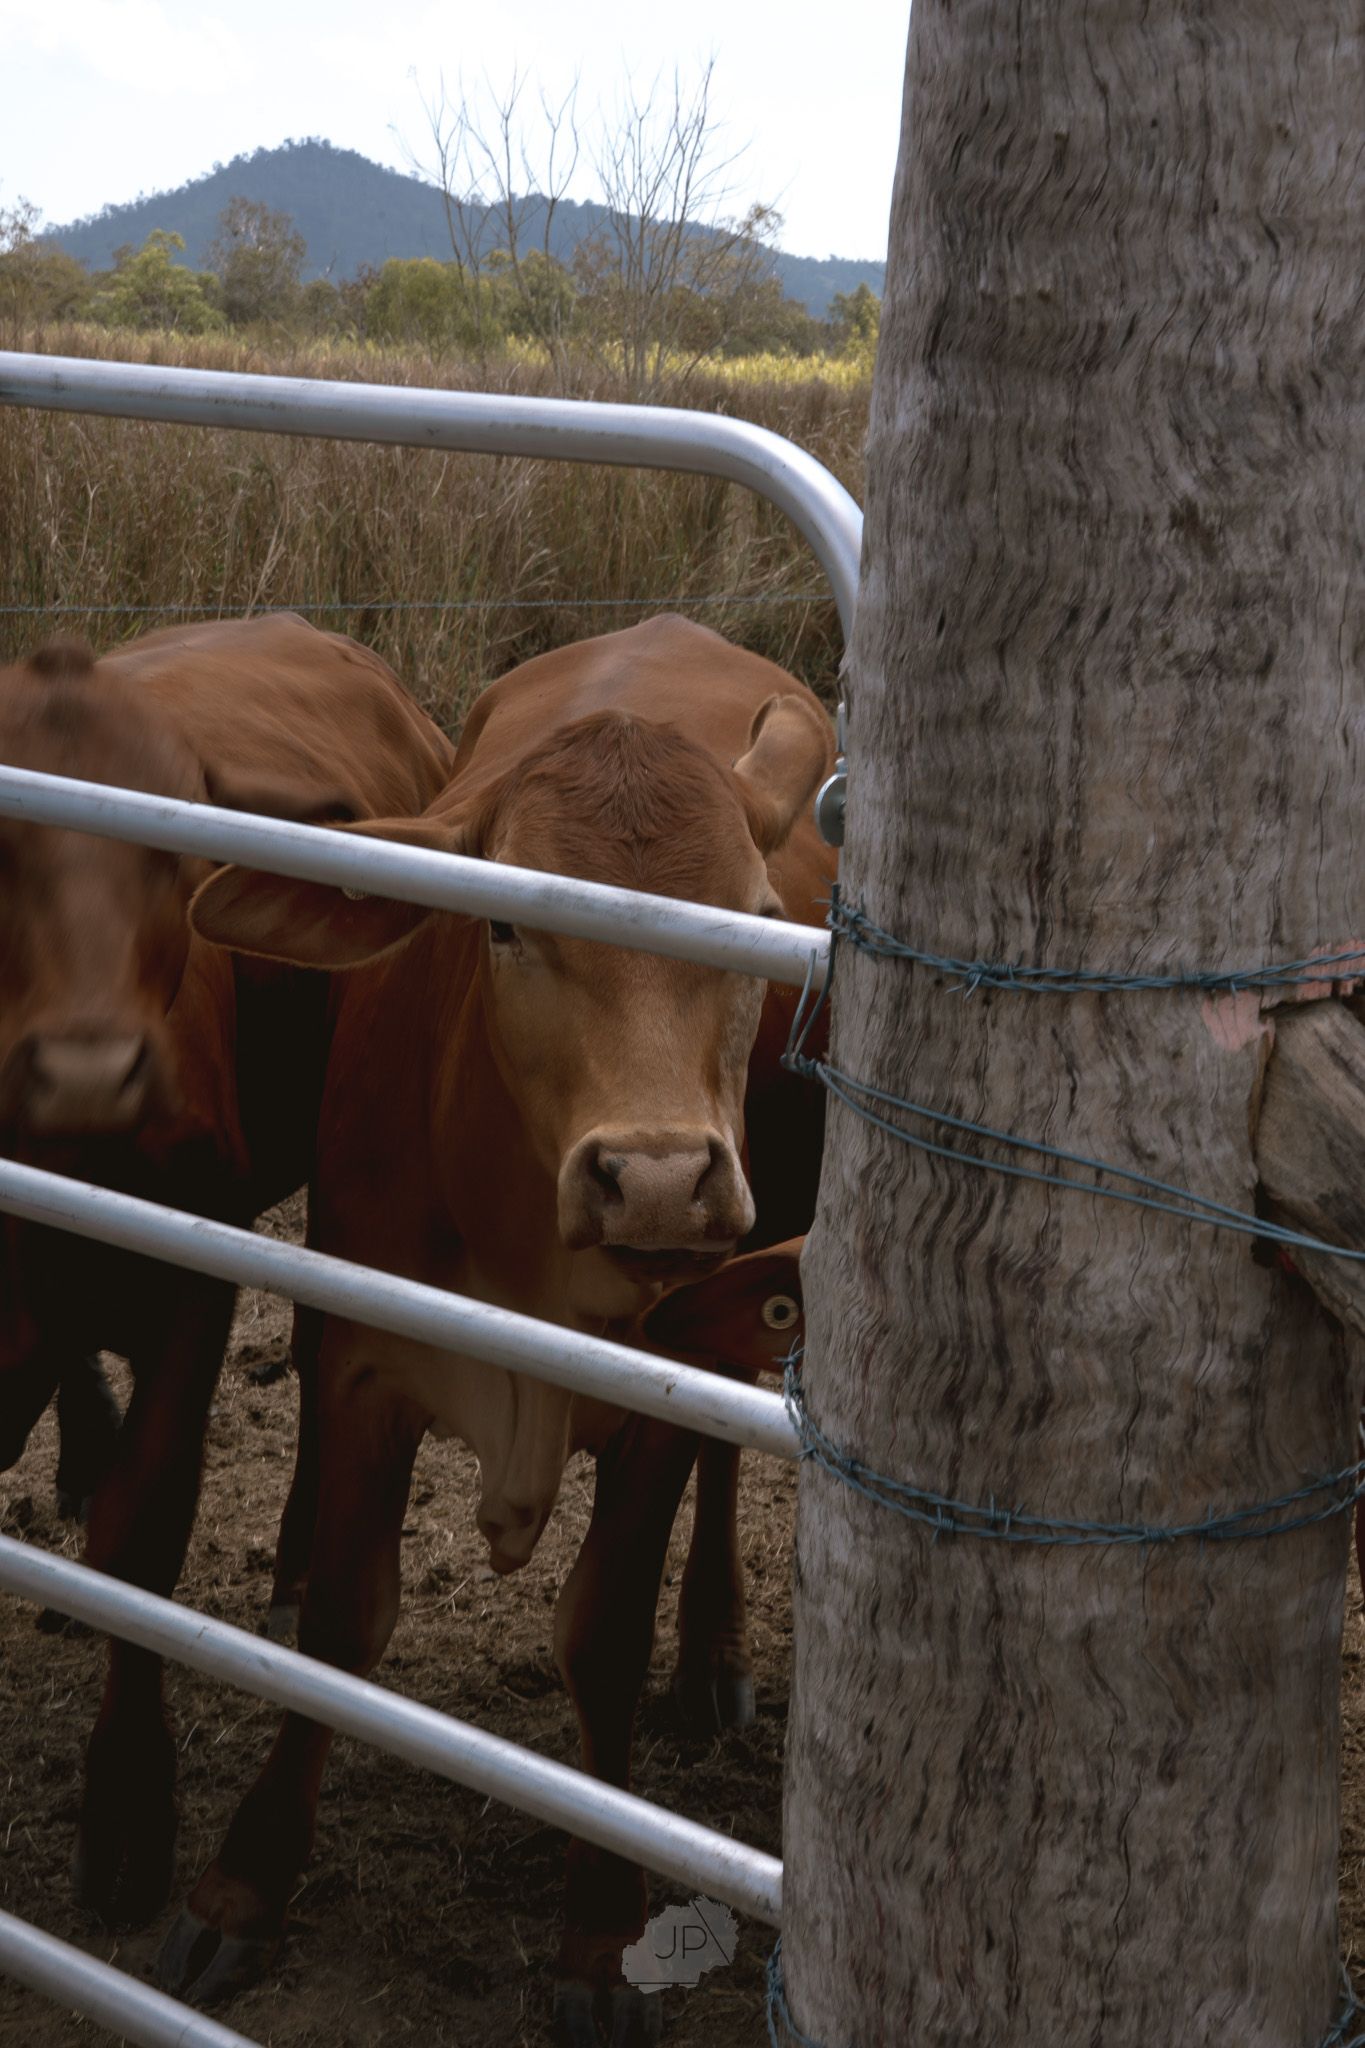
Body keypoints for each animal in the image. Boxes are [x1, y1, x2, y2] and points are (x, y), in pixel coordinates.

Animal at [170, 613, 834, 2042]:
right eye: (506, 927)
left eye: (757, 925)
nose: (658, 1178)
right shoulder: (363, 1360)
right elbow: (343, 1622)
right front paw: (246, 1881)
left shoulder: (662, 1373)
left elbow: (601, 1632)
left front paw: (600, 1932)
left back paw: (713, 1652)